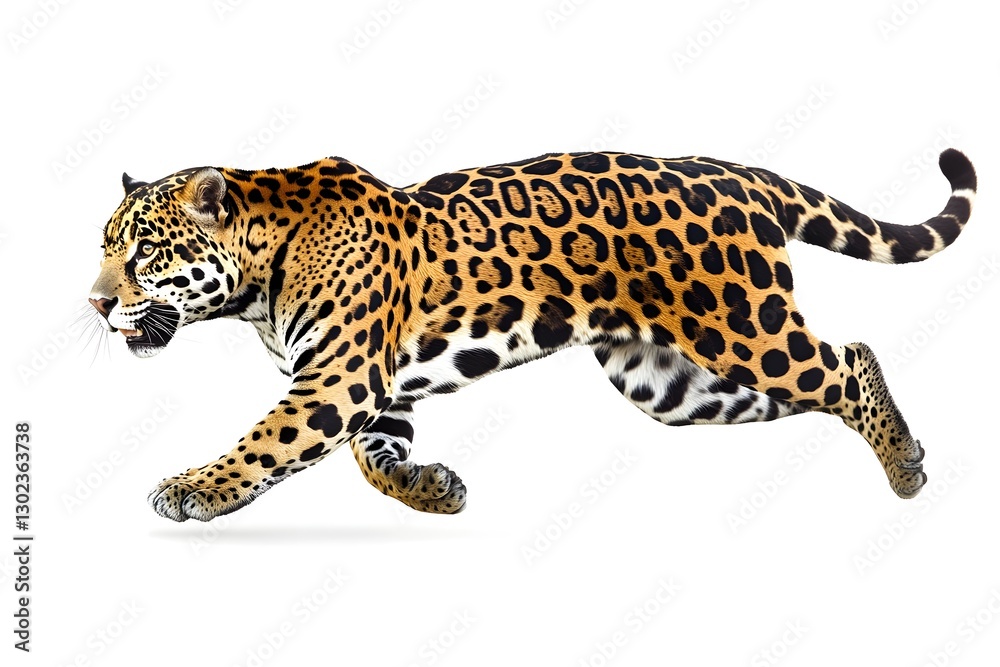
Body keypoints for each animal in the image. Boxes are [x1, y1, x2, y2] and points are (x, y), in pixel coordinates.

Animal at [87, 147, 977, 521]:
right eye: (103, 246)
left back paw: (903, 462)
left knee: (846, 359)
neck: (259, 275)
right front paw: (431, 489)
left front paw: (195, 487)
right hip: (673, 380)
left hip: (745, 328)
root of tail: (736, 172)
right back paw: (909, 452)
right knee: (825, 375)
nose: (94, 305)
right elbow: (374, 458)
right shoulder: (377, 387)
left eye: (144, 252)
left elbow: (265, 442)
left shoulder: (337, 379)